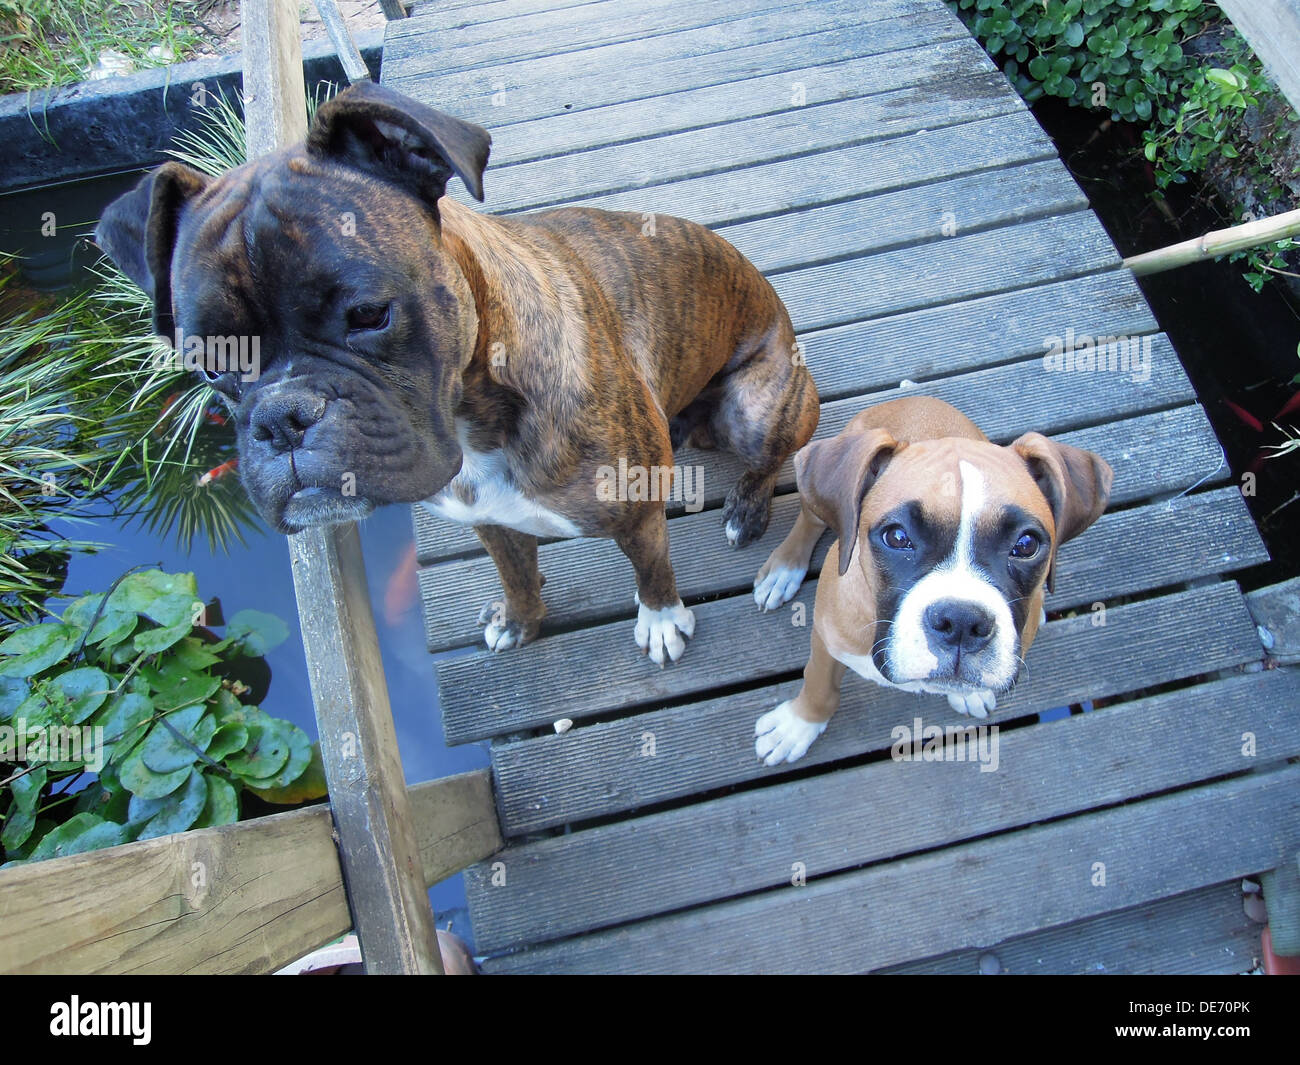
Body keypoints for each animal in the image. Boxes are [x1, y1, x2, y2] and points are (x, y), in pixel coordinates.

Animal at [759, 395, 1112, 764]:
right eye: (897, 537)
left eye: (1026, 545)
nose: (962, 622)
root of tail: (914, 398)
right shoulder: (826, 640)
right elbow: (819, 683)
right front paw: (798, 725)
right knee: (811, 519)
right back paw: (784, 569)